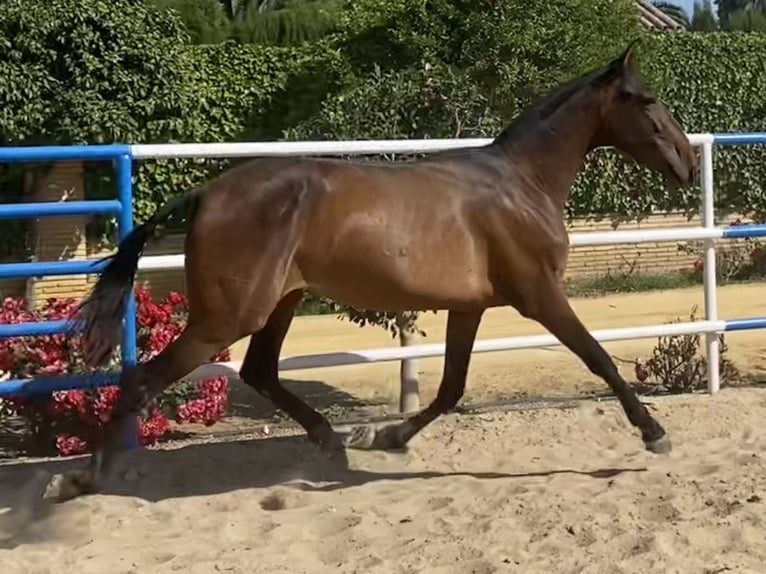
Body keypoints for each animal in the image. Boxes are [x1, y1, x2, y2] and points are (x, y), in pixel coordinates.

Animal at [46, 44, 696, 504]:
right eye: (643, 99)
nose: (688, 163)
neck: (521, 184)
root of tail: (206, 192)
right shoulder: (538, 294)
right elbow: (599, 357)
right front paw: (654, 433)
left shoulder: (470, 306)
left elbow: (451, 388)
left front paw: (385, 437)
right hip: (227, 316)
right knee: (144, 380)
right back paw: (78, 482)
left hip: (280, 302)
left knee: (260, 371)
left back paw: (332, 442)